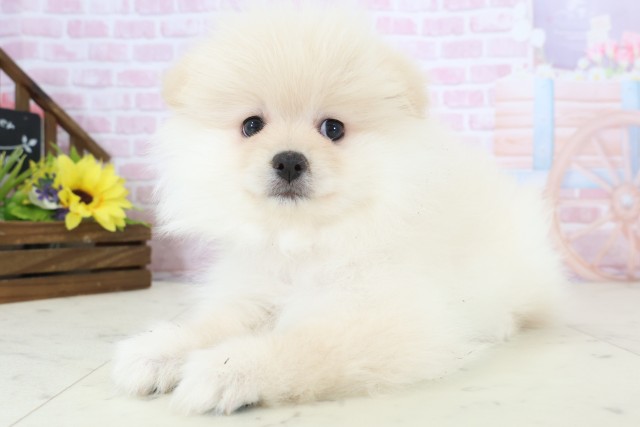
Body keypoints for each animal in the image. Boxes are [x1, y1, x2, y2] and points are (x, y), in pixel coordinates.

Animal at [112, 3, 565, 415]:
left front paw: (227, 370)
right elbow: (213, 324)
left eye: (333, 129)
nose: (289, 160)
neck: (307, 239)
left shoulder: (388, 319)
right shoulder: (258, 291)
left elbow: (304, 346)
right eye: (251, 125)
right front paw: (160, 350)